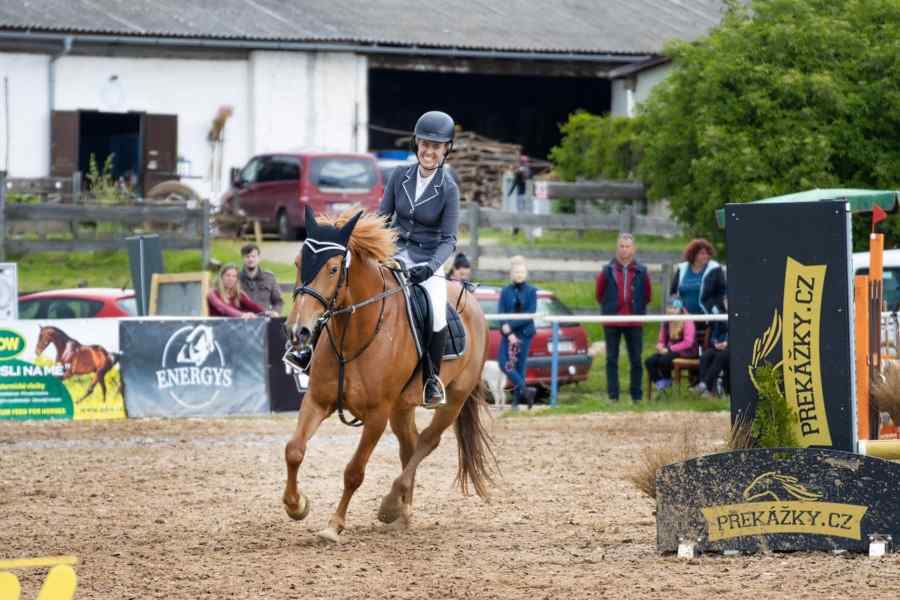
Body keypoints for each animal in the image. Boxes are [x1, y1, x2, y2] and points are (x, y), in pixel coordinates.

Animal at [284, 209, 496, 540]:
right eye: (297, 262)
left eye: (333, 269)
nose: (298, 331)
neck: (353, 335)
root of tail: (474, 303)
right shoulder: (317, 401)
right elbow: (294, 450)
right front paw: (297, 505)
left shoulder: (376, 415)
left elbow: (354, 472)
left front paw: (334, 525)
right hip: (402, 406)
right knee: (410, 444)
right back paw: (403, 512)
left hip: (453, 399)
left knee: (427, 442)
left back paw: (391, 504)